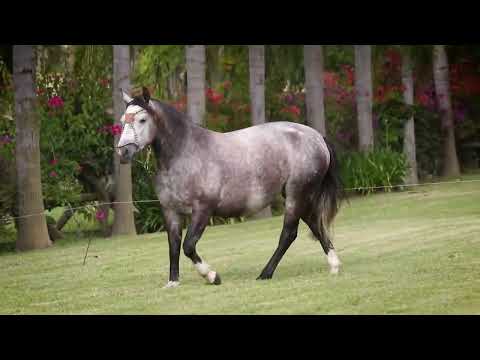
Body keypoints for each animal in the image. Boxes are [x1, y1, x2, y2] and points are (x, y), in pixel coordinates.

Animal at [116, 88, 342, 288]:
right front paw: (173, 282)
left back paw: (265, 273)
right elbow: (173, 246)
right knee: (315, 224)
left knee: (289, 234)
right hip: (300, 195)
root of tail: (316, 137)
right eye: (122, 121)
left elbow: (188, 246)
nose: (123, 152)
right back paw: (334, 266)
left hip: (297, 194)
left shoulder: (203, 210)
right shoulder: (170, 211)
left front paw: (211, 276)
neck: (184, 153)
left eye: (142, 120)